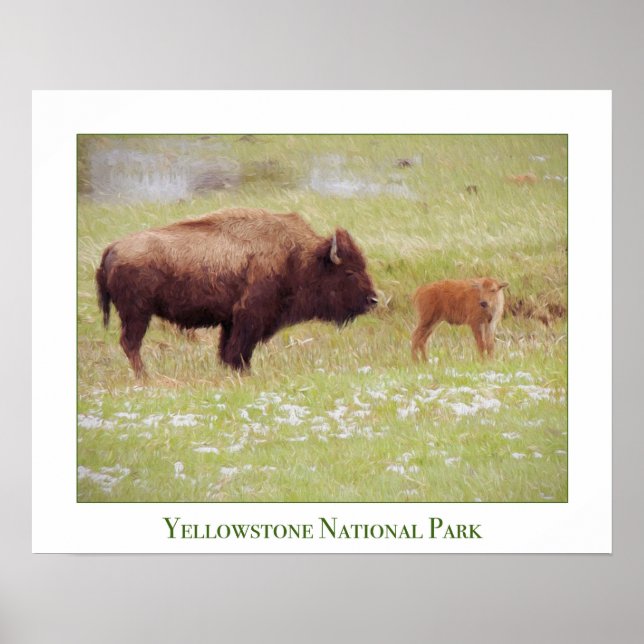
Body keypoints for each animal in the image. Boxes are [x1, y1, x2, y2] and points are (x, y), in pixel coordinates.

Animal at [96, 208, 378, 375]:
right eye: (349, 272)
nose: (373, 299)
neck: (298, 256)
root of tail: (112, 247)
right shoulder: (249, 317)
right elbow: (239, 350)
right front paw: (244, 373)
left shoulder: (231, 321)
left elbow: (227, 350)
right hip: (137, 314)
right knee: (131, 343)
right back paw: (144, 376)